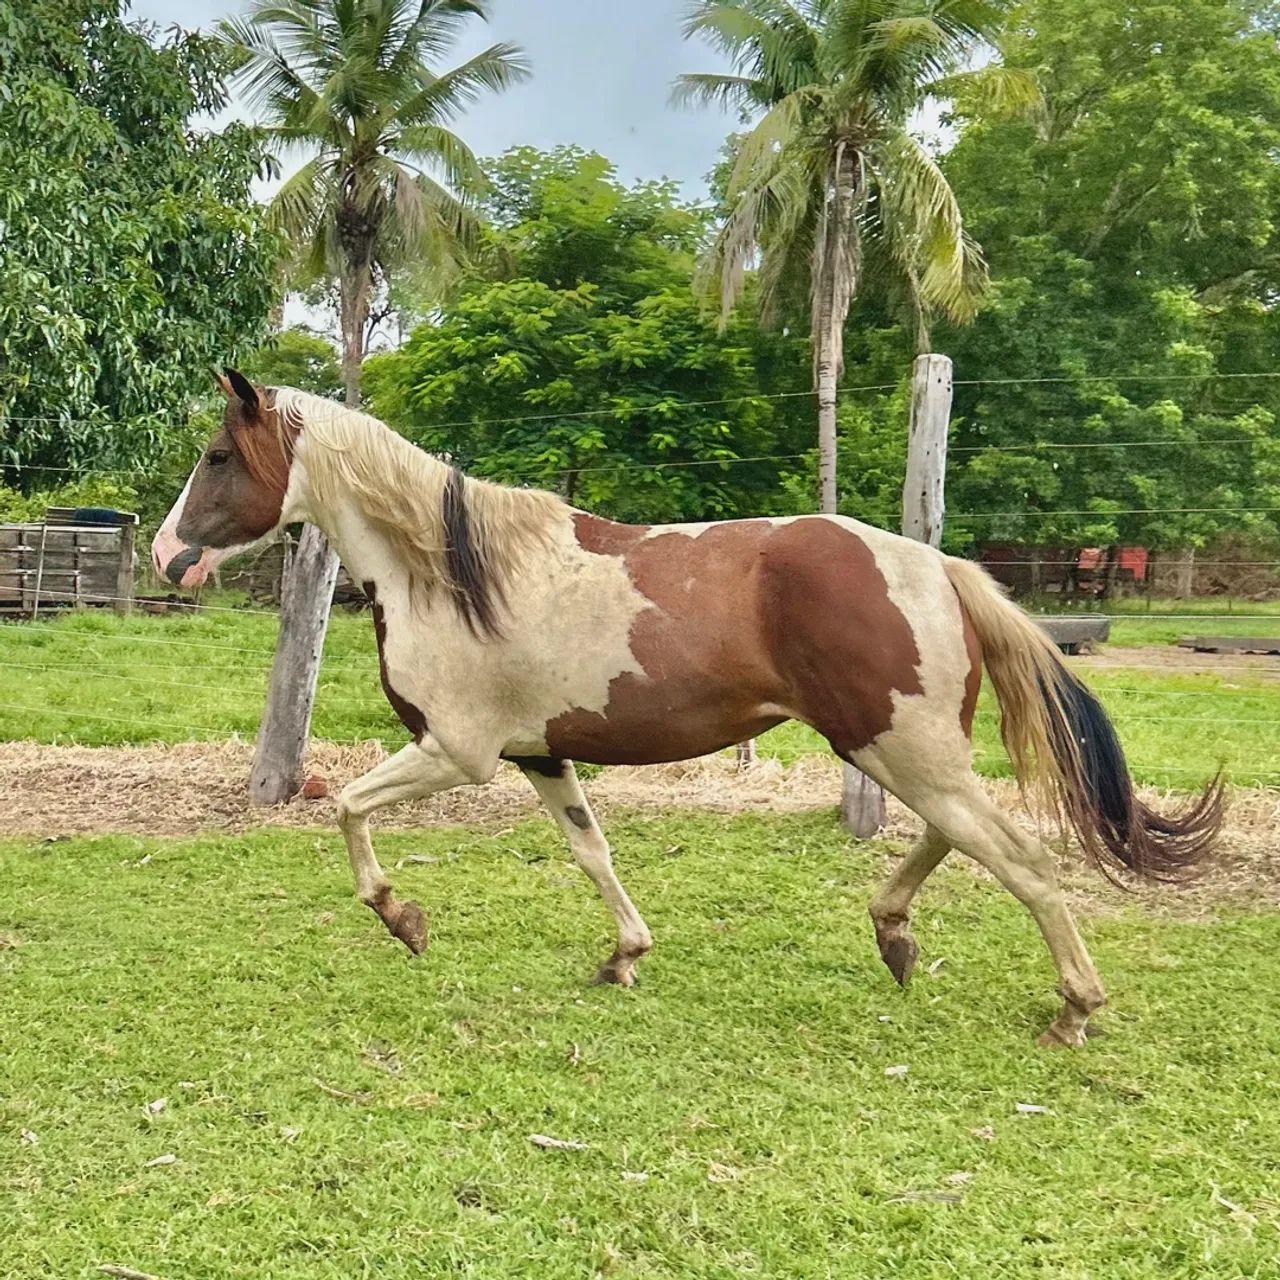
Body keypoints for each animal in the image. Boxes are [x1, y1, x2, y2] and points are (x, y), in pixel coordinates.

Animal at [152, 371, 1223, 1046]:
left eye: (217, 455)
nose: (168, 556)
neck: (450, 573)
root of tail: (939, 566)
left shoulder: (456, 752)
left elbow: (345, 808)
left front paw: (404, 919)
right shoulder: (542, 756)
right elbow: (592, 853)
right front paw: (624, 956)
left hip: (901, 750)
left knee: (1022, 859)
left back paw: (1072, 1009)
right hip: (901, 751)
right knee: (956, 839)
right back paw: (894, 935)